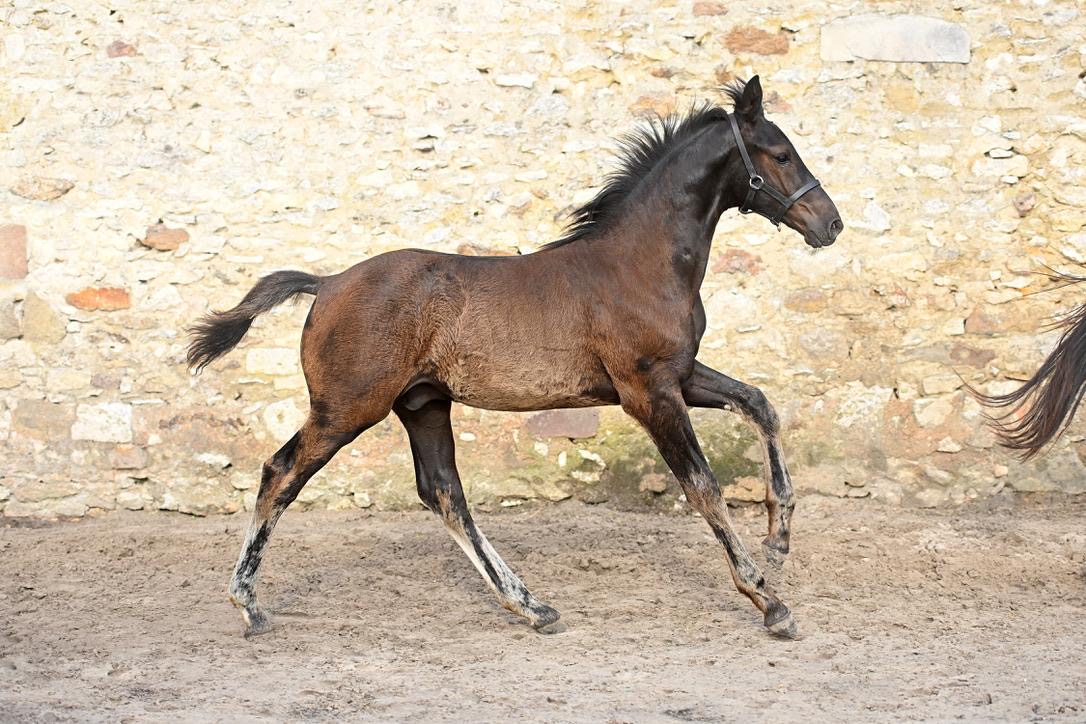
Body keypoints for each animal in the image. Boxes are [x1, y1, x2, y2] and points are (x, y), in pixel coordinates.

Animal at [188, 76, 843, 640]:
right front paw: (768, 599)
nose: (830, 224)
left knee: (444, 494)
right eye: (781, 154)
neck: (638, 264)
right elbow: (702, 485)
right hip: (347, 408)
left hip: (422, 405)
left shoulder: (679, 377)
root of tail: (325, 284)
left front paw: (779, 537)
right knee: (281, 474)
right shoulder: (648, 391)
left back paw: (531, 605)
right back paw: (248, 604)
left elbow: (760, 404)